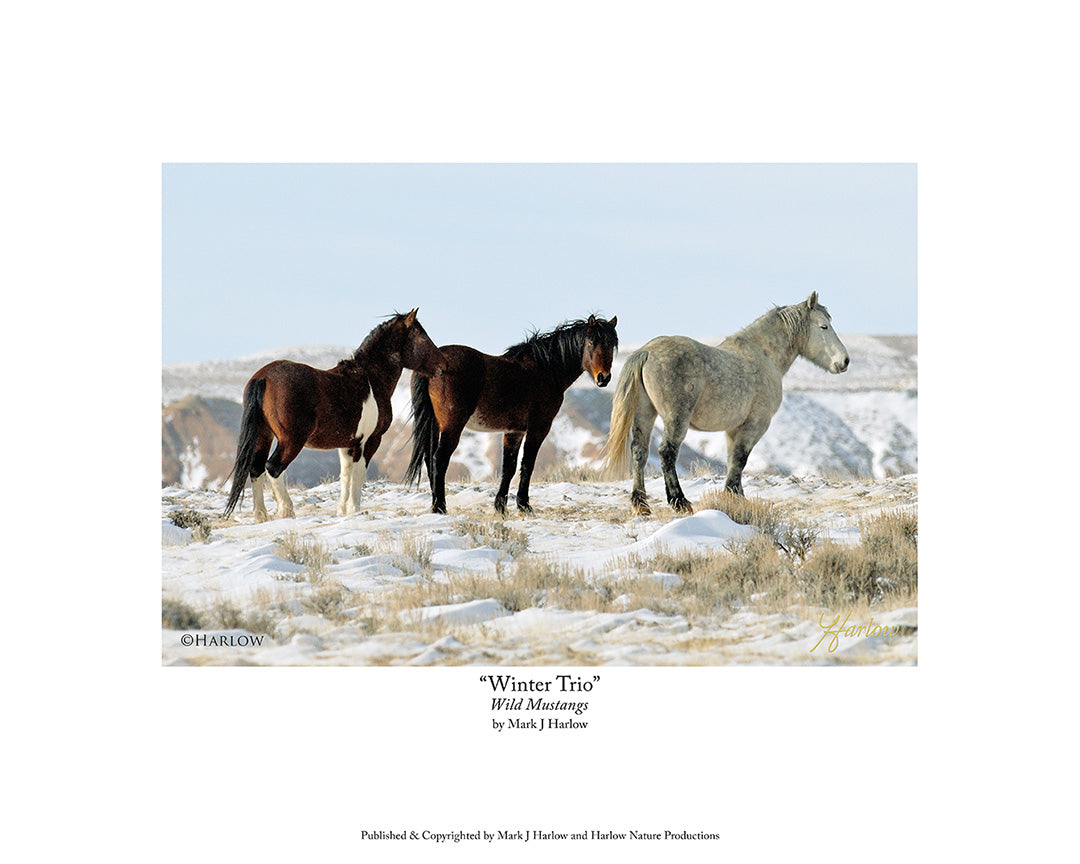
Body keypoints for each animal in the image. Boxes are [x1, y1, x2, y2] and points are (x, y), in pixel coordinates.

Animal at [223, 309, 446, 521]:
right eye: (422, 336)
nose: (443, 367)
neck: (371, 379)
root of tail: (263, 377)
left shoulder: (347, 444)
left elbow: (346, 475)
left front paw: (343, 511)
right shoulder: (369, 441)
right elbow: (359, 474)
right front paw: (355, 509)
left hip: (264, 436)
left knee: (256, 469)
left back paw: (261, 515)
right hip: (291, 440)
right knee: (273, 467)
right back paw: (287, 511)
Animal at [405, 315, 619, 515]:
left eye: (611, 344)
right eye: (590, 342)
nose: (603, 378)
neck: (546, 369)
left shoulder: (514, 431)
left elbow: (509, 467)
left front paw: (500, 507)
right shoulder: (538, 428)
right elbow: (527, 465)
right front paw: (524, 505)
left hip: (433, 424)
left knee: (429, 459)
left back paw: (436, 504)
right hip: (452, 426)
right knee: (439, 459)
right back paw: (440, 507)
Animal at [601, 293, 849, 515]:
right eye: (824, 326)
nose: (844, 361)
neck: (764, 356)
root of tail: (647, 352)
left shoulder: (733, 429)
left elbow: (733, 460)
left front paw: (736, 496)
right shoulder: (755, 425)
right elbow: (740, 458)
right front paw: (733, 495)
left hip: (644, 414)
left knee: (639, 452)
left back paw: (641, 504)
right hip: (676, 419)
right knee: (667, 452)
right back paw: (679, 501)